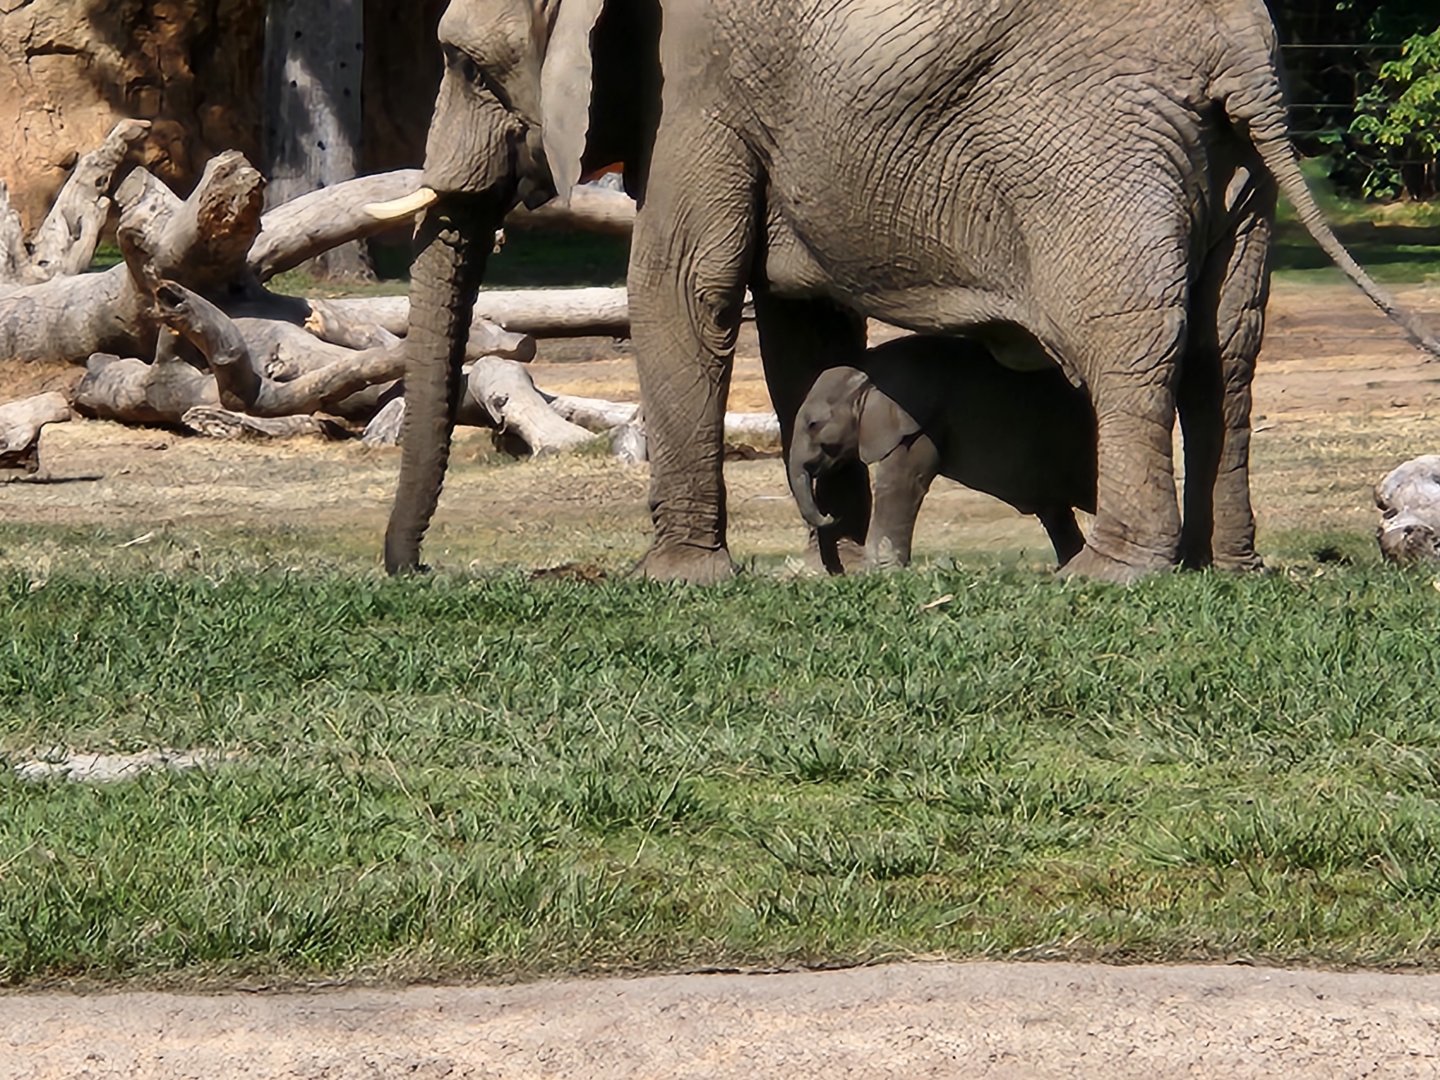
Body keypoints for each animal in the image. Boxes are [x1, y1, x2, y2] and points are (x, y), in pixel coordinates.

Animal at [788, 336, 1096, 570]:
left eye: (814, 424)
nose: (832, 516)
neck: (869, 367)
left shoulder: (918, 423)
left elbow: (900, 484)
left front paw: (881, 572)